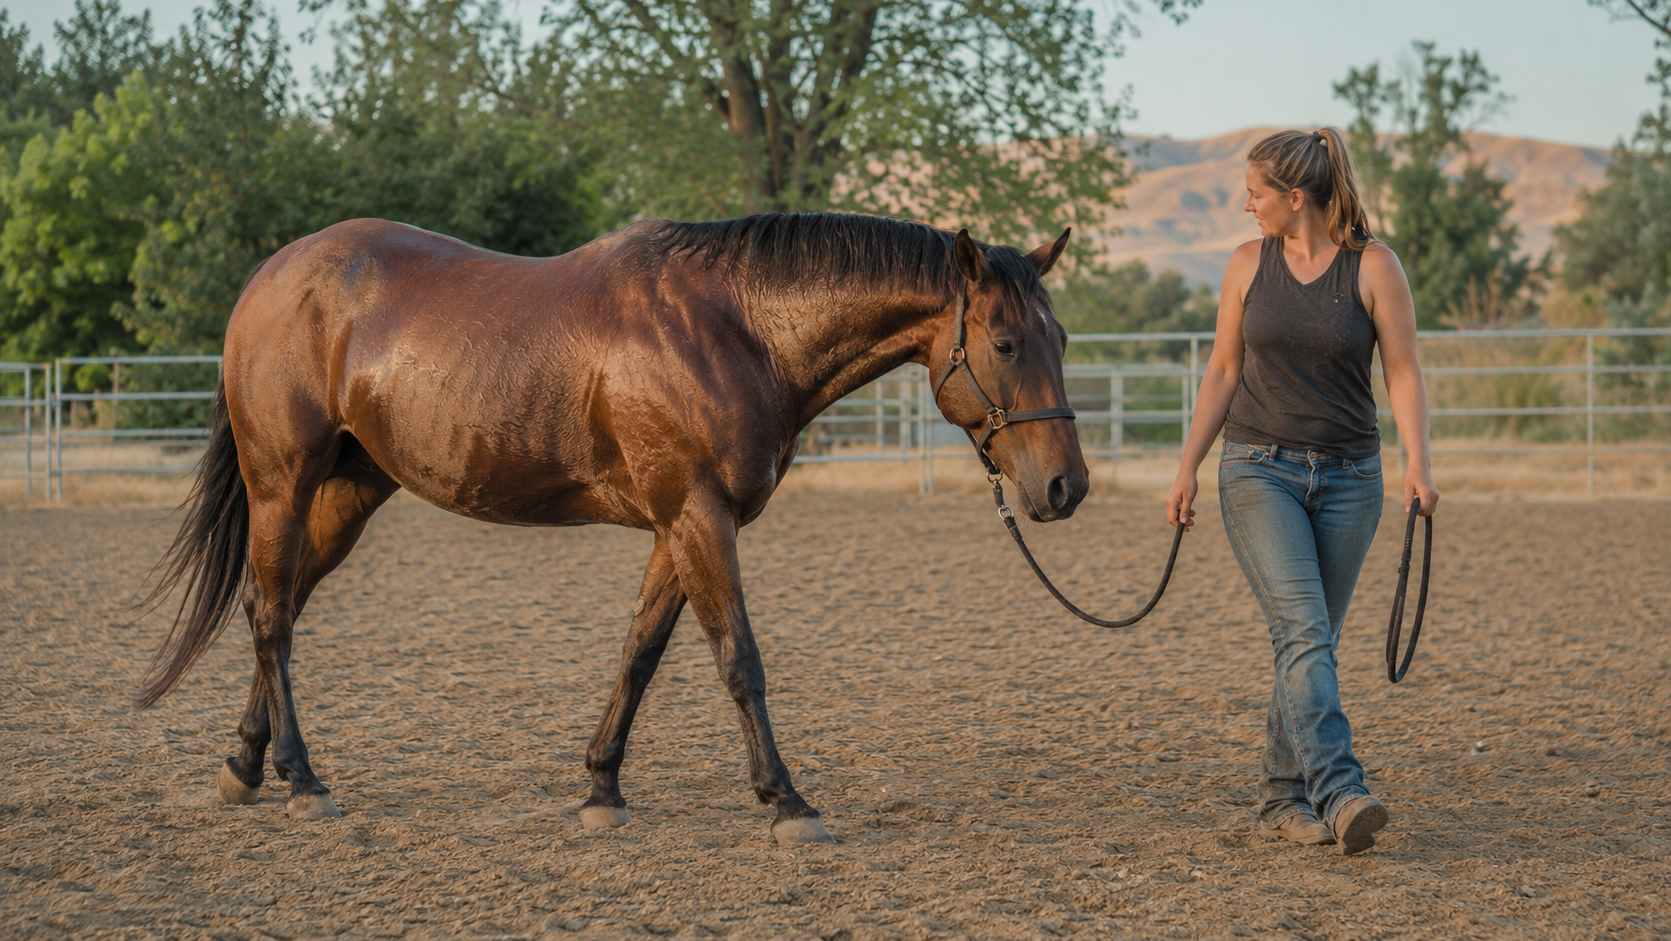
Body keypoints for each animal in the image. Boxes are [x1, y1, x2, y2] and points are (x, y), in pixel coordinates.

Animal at [139, 212, 1089, 846]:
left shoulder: (677, 525)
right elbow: (739, 660)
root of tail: (272, 277)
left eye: (1062, 338)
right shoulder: (700, 517)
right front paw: (786, 802)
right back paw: (303, 779)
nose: (1064, 485)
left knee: (279, 606)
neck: (736, 326)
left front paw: (601, 786)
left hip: (347, 493)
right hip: (282, 483)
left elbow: (640, 653)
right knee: (270, 616)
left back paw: (246, 765)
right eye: (1005, 343)